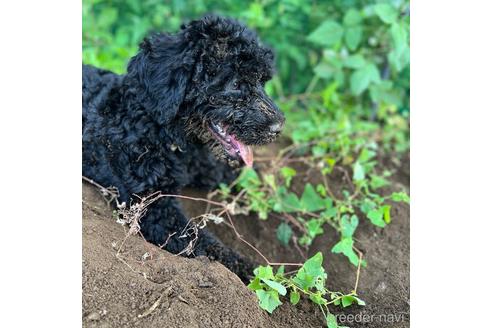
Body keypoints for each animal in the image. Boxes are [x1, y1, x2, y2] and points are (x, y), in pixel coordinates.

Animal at [82, 16, 284, 282]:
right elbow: (205, 244)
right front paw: (258, 274)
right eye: (235, 83)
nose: (278, 127)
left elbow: (242, 178)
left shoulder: (207, 168)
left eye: (262, 81)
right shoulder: (154, 209)